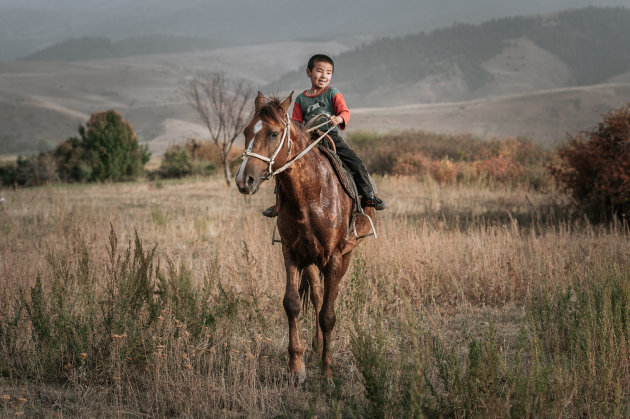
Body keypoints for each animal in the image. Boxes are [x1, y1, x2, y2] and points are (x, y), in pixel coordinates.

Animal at [236, 92, 376, 384]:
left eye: (274, 133)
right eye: (246, 131)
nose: (244, 180)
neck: (310, 195)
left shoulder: (334, 257)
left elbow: (328, 316)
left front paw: (327, 372)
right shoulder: (291, 252)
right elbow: (292, 304)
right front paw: (296, 367)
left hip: (345, 255)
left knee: (327, 299)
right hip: (311, 260)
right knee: (317, 296)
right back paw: (313, 349)